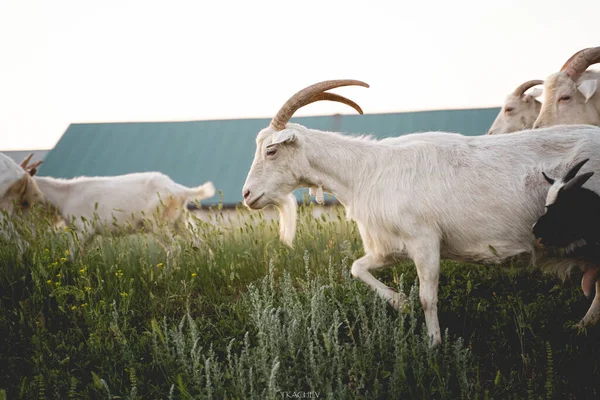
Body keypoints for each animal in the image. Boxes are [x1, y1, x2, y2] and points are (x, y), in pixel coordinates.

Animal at [241, 79, 600, 346]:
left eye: (271, 151)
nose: (247, 195)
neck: (366, 171)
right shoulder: (390, 247)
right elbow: (357, 268)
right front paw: (400, 302)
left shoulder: (425, 241)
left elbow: (429, 296)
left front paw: (434, 344)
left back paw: (583, 324)